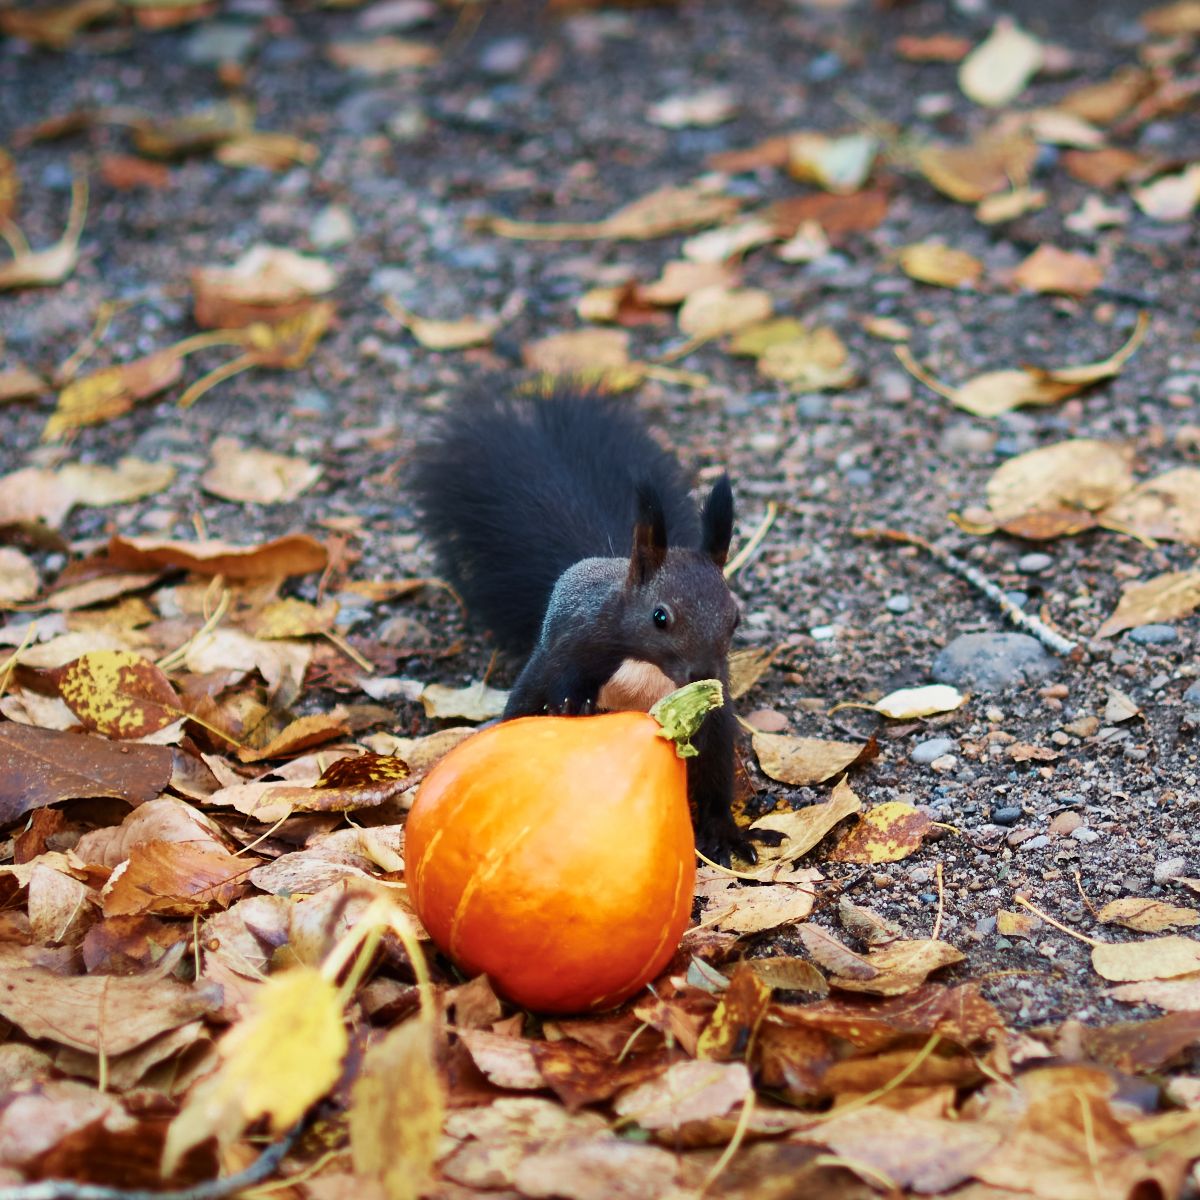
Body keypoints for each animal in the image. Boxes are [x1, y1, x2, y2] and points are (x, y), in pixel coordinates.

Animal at [412, 381, 763, 864]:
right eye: (660, 617)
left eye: (735, 618)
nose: (702, 676)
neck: (645, 664)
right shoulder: (577, 641)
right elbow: (567, 678)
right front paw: (571, 705)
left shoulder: (714, 714)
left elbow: (714, 771)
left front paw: (724, 829)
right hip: (534, 677)